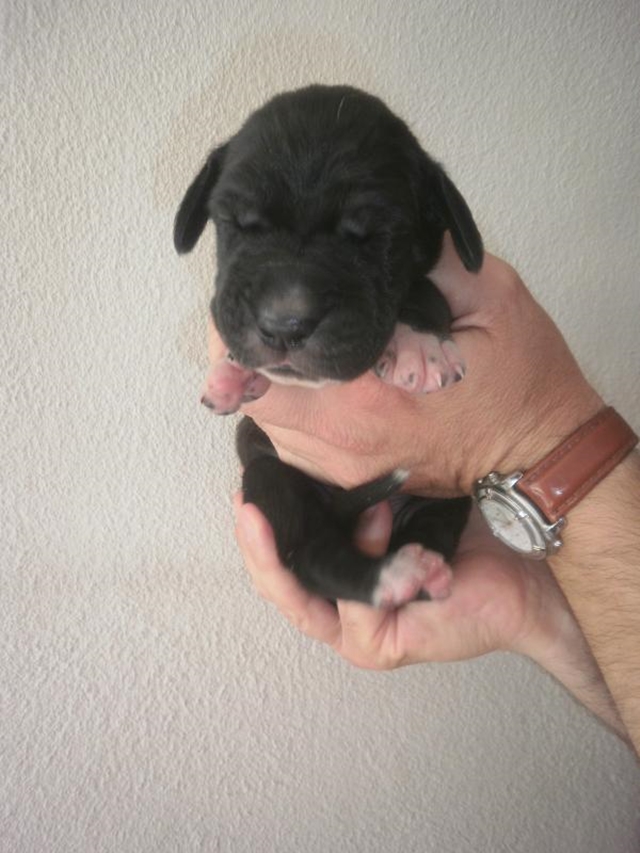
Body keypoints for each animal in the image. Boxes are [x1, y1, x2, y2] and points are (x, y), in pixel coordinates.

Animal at [174, 85, 482, 608]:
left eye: (376, 238)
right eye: (237, 223)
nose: (284, 324)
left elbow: (425, 292)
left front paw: (419, 345)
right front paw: (234, 374)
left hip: (443, 498)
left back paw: (410, 573)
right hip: (270, 474)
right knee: (309, 555)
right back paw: (388, 576)